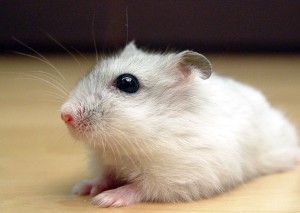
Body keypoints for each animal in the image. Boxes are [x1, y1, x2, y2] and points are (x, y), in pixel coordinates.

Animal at [59, 42, 298, 207]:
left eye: (128, 83)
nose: (64, 115)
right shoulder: (106, 162)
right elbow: (105, 176)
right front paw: (82, 188)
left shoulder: (178, 177)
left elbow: (139, 187)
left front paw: (105, 200)